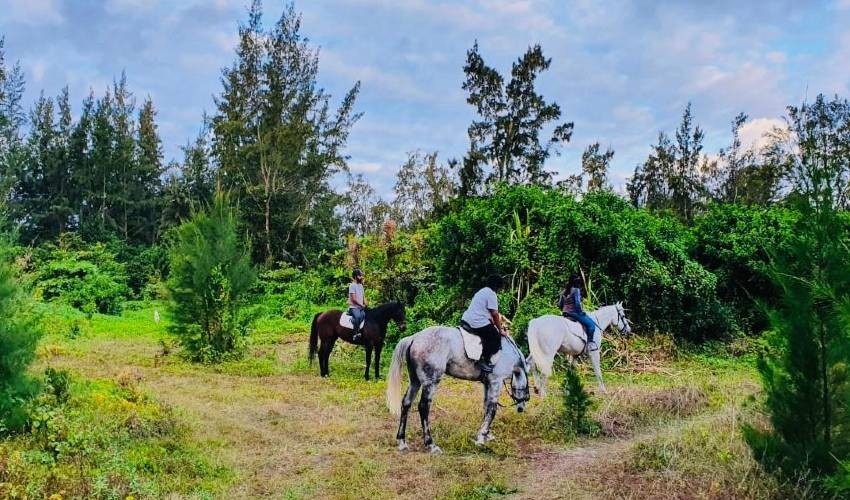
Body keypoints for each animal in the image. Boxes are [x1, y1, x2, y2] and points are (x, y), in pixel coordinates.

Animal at [386, 326, 528, 456]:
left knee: (406, 403)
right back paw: (431, 444)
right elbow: (492, 410)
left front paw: (486, 434)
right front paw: (481, 439)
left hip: (415, 381)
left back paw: (402, 442)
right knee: (423, 407)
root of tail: (414, 338)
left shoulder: (487, 383)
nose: (521, 408)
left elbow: (486, 406)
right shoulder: (495, 381)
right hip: (431, 381)